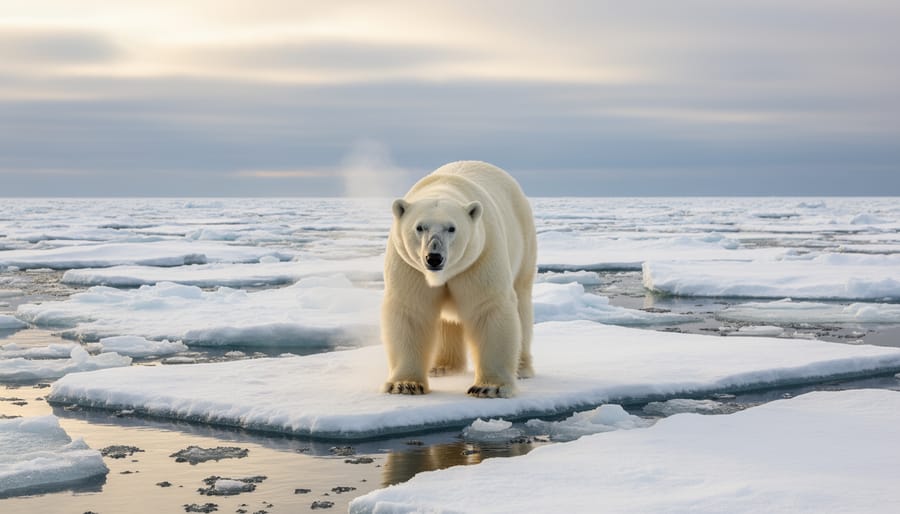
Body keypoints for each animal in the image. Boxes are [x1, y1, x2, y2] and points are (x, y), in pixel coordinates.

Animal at [381, 161, 537, 398]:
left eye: (452, 228)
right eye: (419, 227)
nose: (434, 257)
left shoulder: (480, 256)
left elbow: (488, 307)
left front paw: (489, 387)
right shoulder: (409, 266)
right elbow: (411, 311)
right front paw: (405, 385)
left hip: (524, 242)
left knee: (522, 303)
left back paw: (522, 369)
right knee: (447, 322)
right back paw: (442, 367)